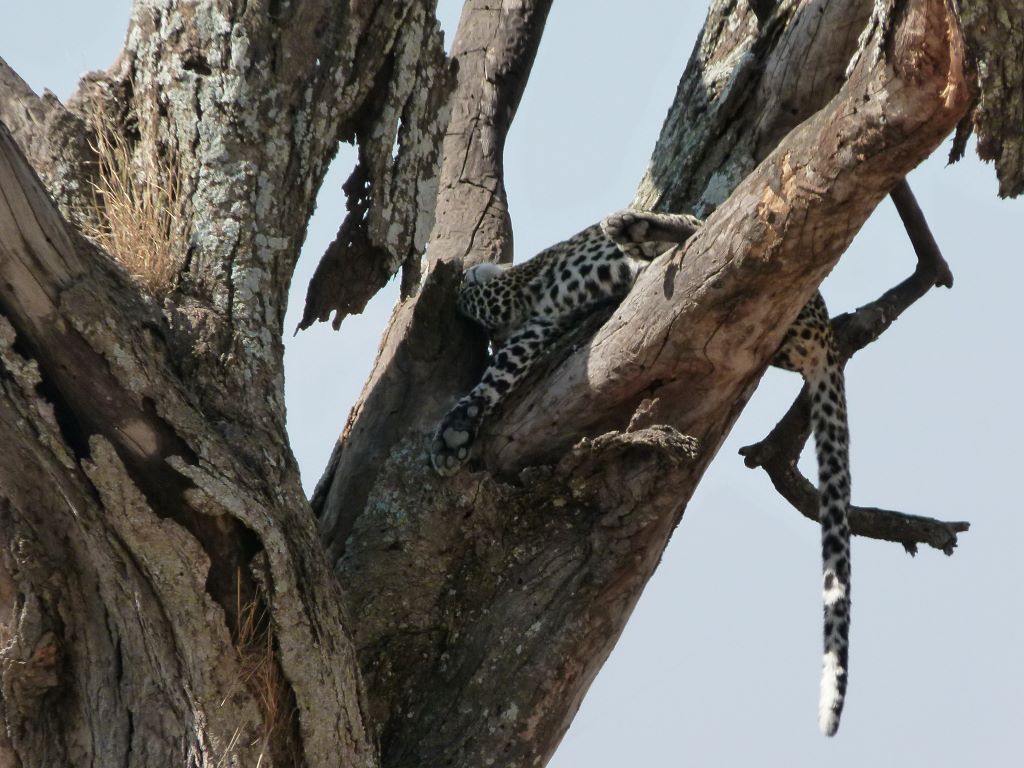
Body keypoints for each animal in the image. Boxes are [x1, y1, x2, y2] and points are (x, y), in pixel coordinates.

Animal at [430, 209, 852, 737]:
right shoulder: (532, 328)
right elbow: (495, 376)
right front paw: (456, 433)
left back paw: (634, 229)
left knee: (720, 232)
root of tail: (826, 330)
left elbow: (476, 299)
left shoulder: (521, 293)